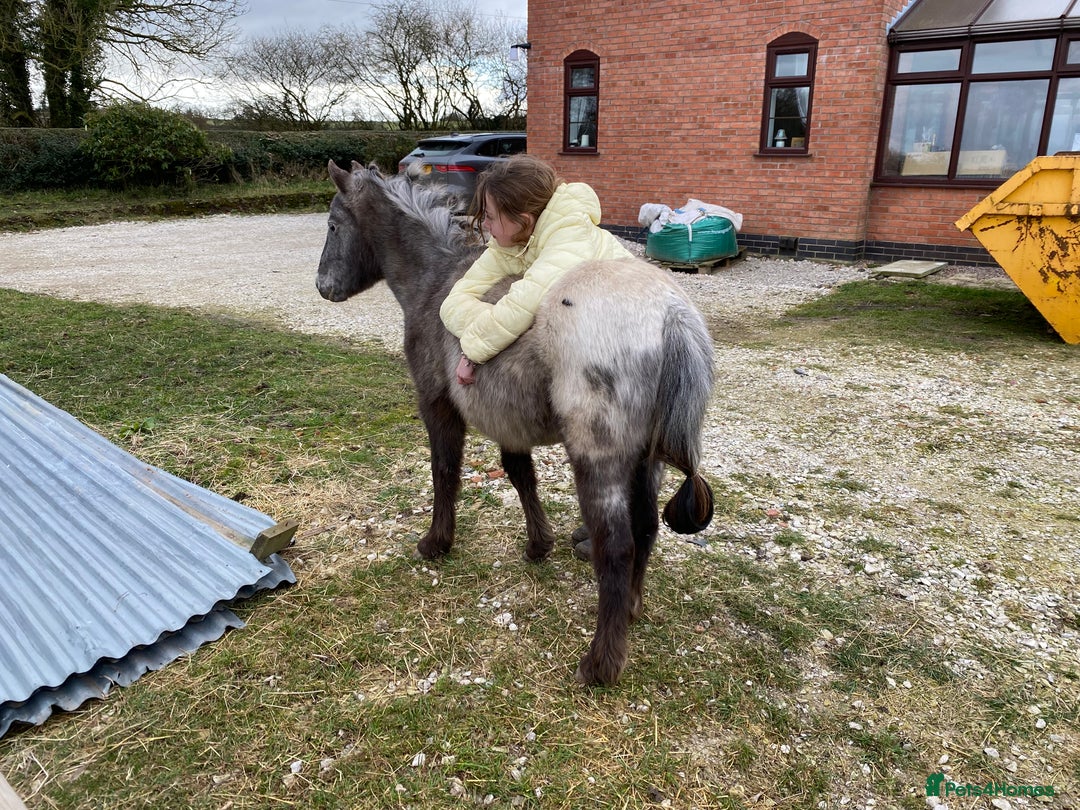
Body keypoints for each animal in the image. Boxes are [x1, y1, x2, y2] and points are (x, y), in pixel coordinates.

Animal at [316, 160, 716, 685]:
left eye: (333, 224)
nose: (323, 287)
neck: (436, 280)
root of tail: (671, 315)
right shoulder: (507, 420)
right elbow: (520, 475)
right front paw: (538, 545)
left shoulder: (437, 405)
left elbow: (445, 472)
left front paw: (436, 542)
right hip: (645, 459)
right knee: (647, 527)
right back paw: (631, 608)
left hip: (598, 460)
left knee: (617, 545)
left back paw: (600, 663)